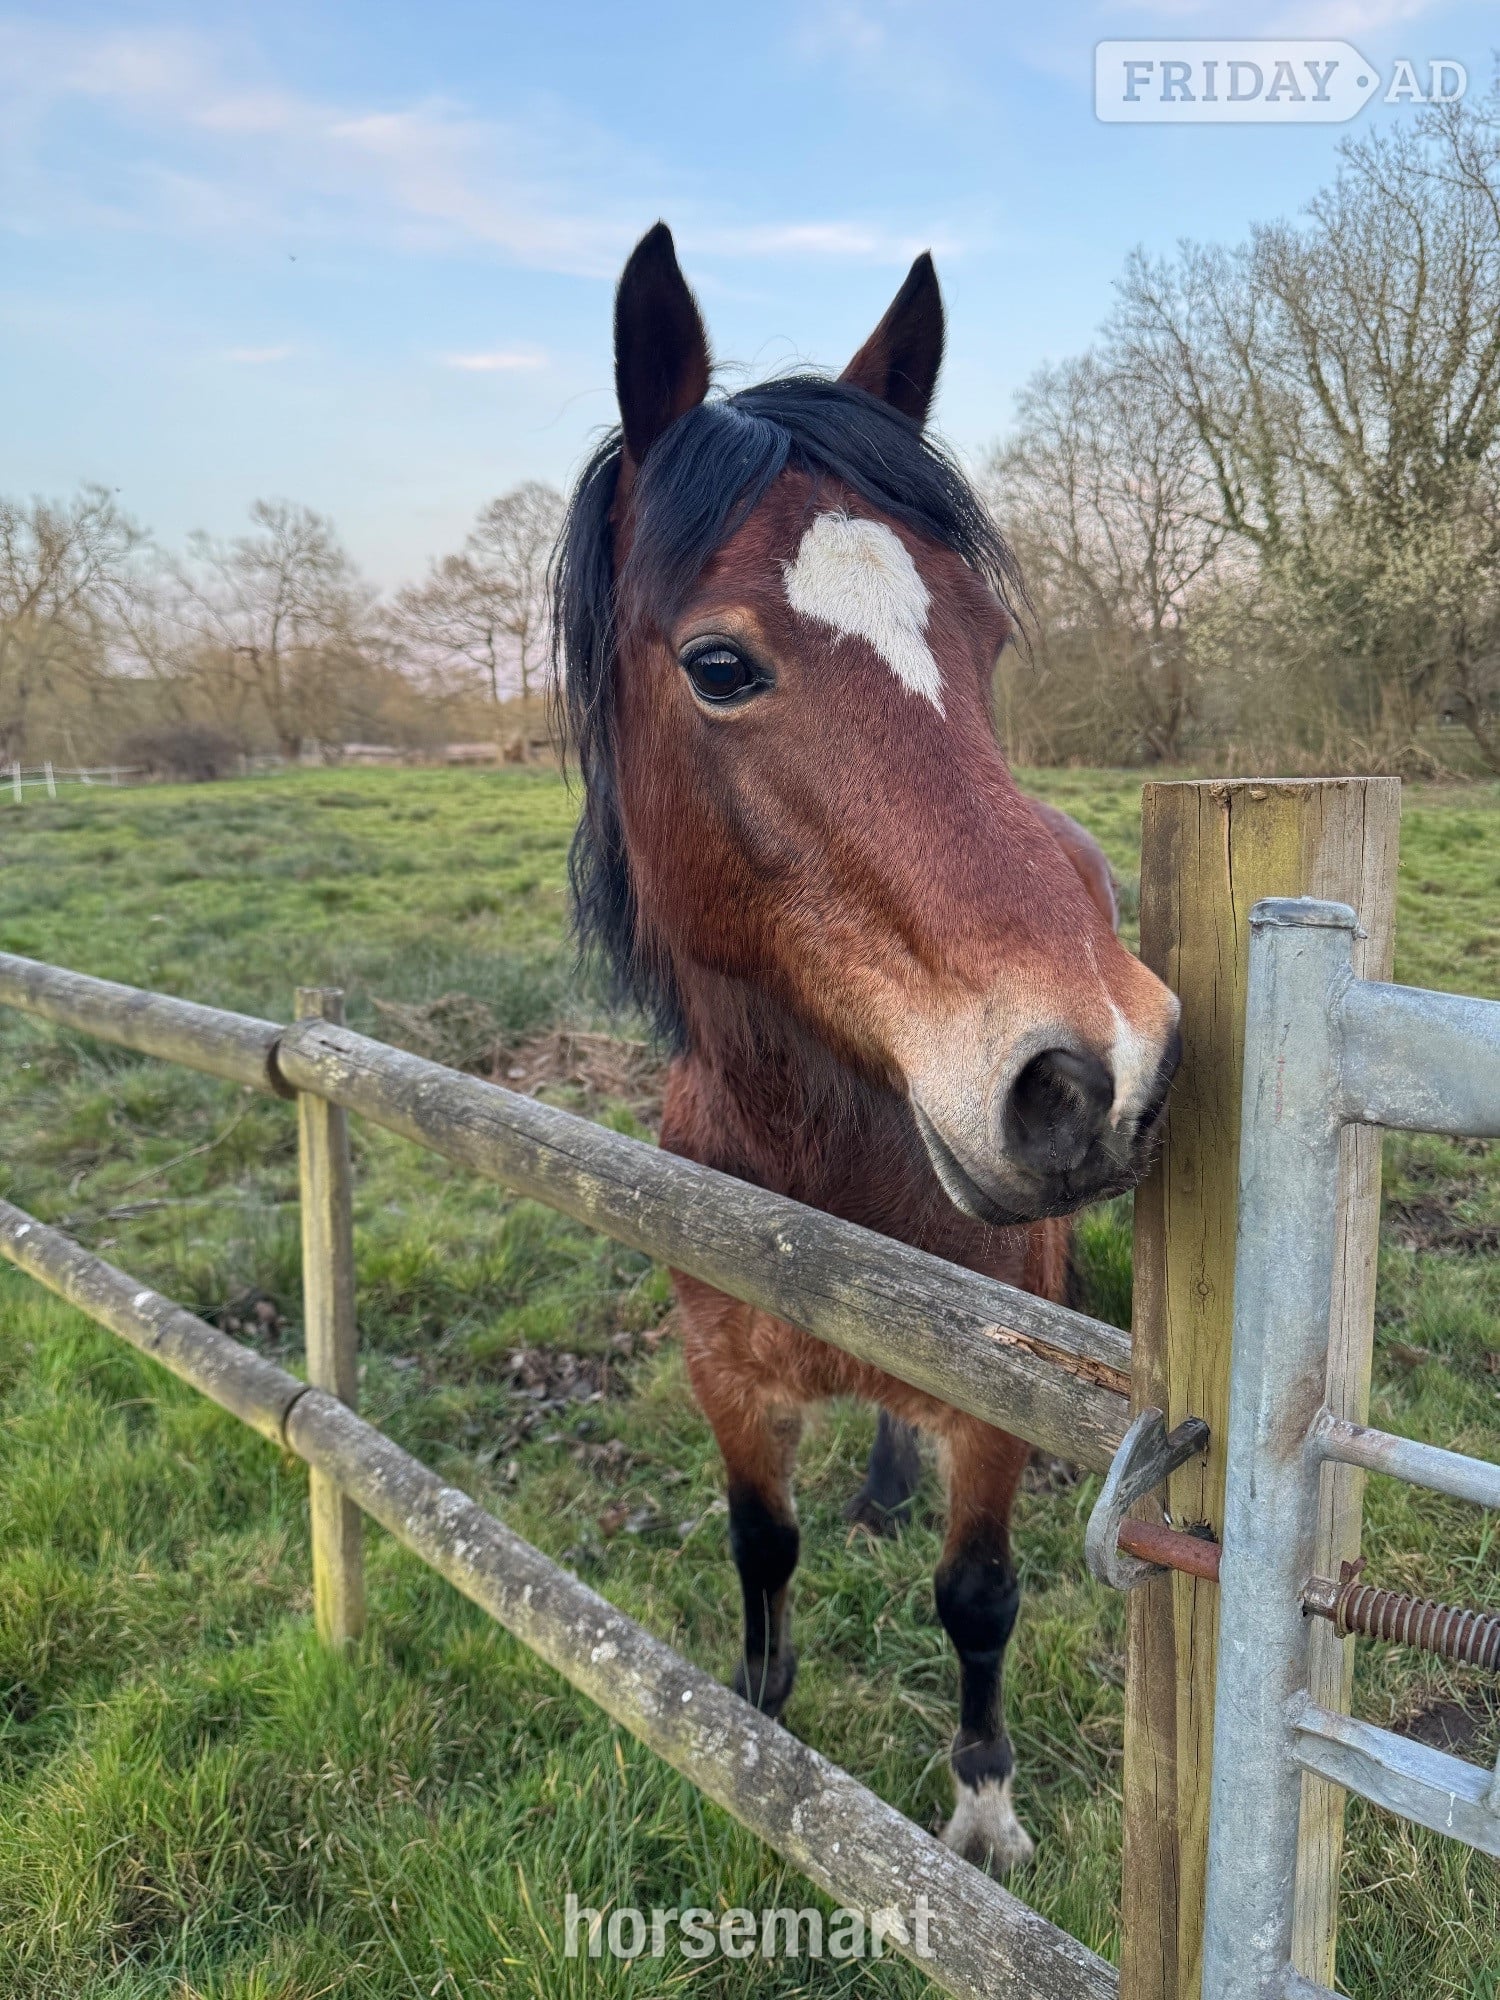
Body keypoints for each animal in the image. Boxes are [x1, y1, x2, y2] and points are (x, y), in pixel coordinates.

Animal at [552, 223, 1181, 1874]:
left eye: (986, 641)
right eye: (719, 665)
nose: (1090, 1074)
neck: (811, 1178)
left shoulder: (990, 1411)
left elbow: (978, 1599)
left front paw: (983, 1812)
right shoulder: (723, 1378)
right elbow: (759, 1544)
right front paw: (754, 1723)